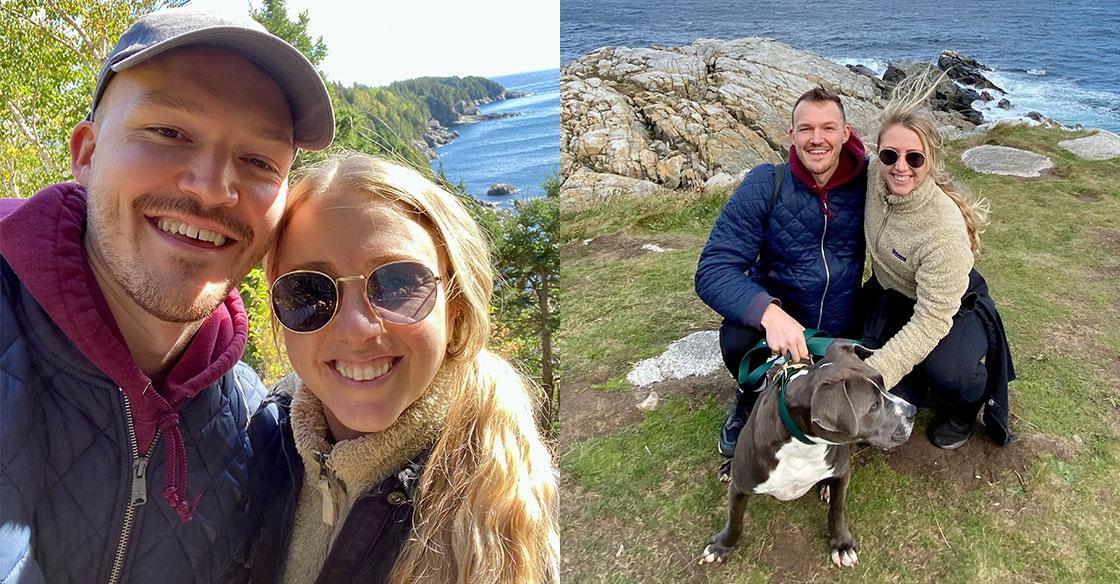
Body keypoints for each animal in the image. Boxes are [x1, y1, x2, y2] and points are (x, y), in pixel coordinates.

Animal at [703, 340, 913, 564]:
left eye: (883, 383)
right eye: (874, 405)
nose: (912, 411)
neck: (803, 447)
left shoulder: (842, 474)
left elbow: (837, 510)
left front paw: (842, 544)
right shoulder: (741, 486)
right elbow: (735, 520)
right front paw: (722, 546)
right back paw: (728, 468)